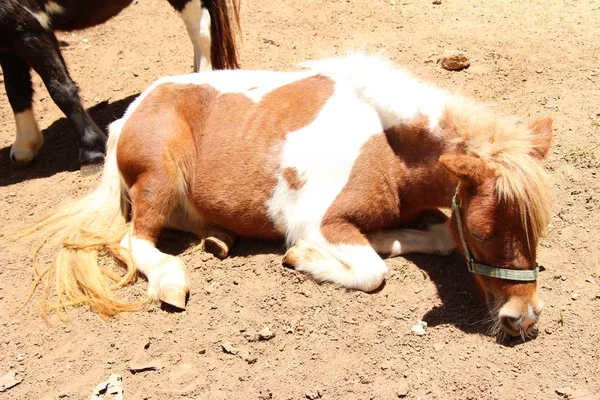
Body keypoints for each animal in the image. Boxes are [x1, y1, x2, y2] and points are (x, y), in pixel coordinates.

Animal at [0, 0, 239, 167]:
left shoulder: (28, 25)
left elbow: (60, 88)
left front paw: (91, 151)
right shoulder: (9, 41)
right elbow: (16, 89)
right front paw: (25, 145)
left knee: (200, 30)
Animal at [18, 54, 552, 340]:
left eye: (538, 230)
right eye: (482, 231)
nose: (522, 318)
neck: (388, 145)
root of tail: (126, 117)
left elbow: (437, 237)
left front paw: (387, 237)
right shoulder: (322, 221)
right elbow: (372, 272)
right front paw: (304, 258)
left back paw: (219, 239)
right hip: (159, 178)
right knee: (134, 242)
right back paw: (173, 279)